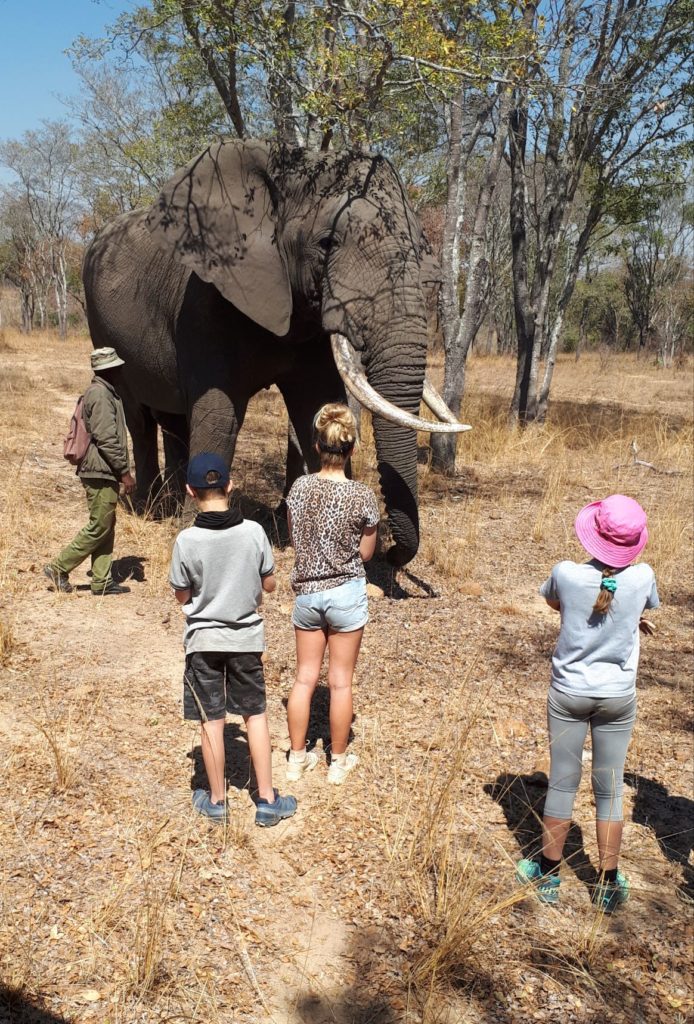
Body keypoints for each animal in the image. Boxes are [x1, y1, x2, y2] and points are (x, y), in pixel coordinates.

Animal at [84, 140, 470, 565]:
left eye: (420, 247)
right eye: (327, 243)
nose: (389, 554)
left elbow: (317, 404)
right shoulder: (205, 301)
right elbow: (218, 412)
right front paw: (197, 528)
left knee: (173, 419)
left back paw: (166, 504)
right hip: (101, 325)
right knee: (136, 413)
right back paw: (149, 507)